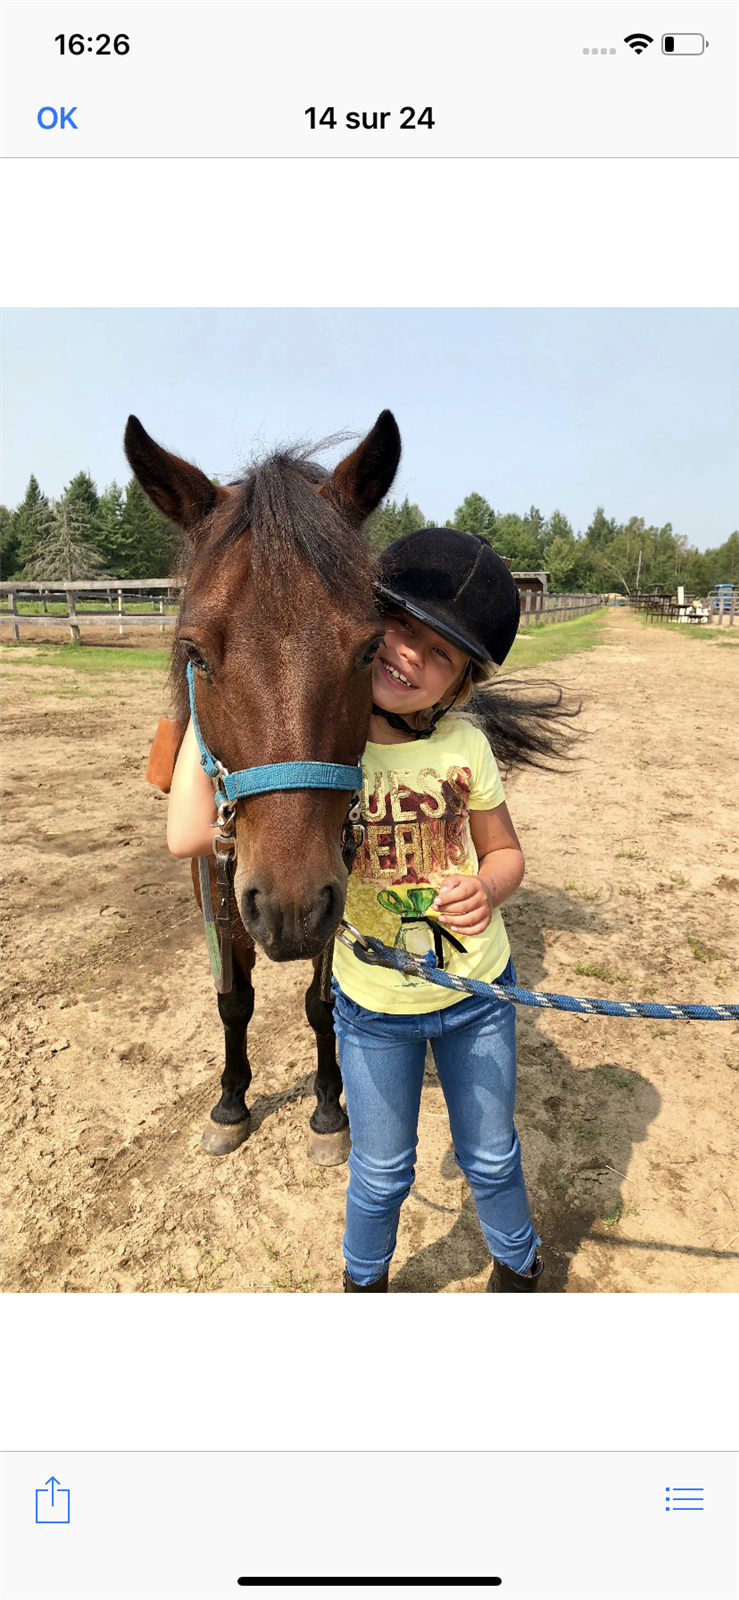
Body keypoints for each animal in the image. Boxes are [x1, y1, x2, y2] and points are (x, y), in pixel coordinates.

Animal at [124, 411, 401, 1162]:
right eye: (193, 651)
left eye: (371, 649)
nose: (290, 904)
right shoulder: (221, 901)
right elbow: (233, 1001)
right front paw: (230, 1103)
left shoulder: (335, 895)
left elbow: (323, 1003)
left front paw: (331, 1107)